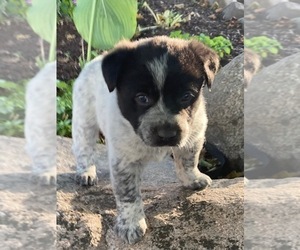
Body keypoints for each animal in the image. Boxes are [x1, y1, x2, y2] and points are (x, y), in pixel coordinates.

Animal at [71, 36, 219, 243]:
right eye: (142, 98)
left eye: (186, 96)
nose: (166, 135)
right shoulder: (125, 162)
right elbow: (129, 194)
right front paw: (131, 224)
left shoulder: (193, 134)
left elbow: (189, 160)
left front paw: (193, 178)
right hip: (84, 121)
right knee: (83, 148)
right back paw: (86, 172)